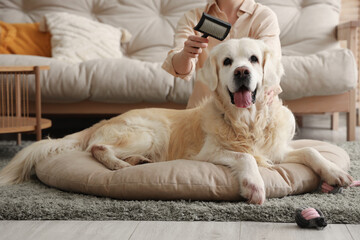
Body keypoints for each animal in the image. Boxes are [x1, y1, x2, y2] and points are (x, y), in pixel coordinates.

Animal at [0, 38, 352, 204]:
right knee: (96, 148)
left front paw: (334, 173)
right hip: (149, 132)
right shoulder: (208, 153)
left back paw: (136, 162)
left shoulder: (277, 150)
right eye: (227, 62)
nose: (242, 72)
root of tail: (104, 121)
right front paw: (253, 185)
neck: (246, 120)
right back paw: (120, 166)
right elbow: (245, 157)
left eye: (253, 59)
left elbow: (311, 151)